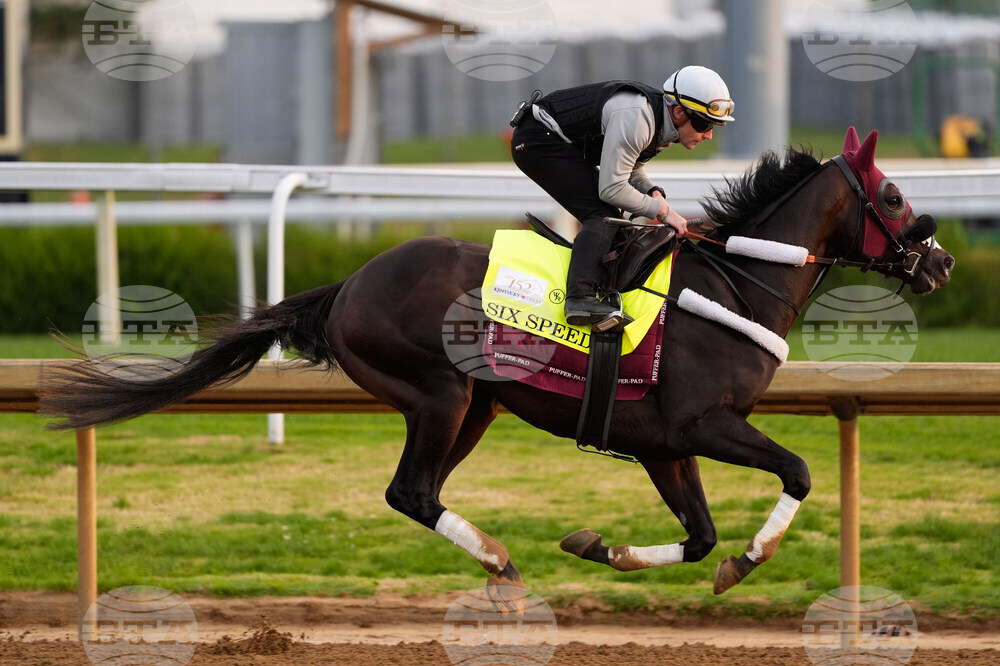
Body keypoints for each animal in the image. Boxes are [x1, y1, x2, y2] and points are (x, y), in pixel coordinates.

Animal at [40, 127, 954, 612]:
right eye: (895, 195)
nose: (941, 261)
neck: (736, 281)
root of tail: (349, 284)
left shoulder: (662, 444)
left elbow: (698, 538)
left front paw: (602, 547)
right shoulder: (704, 423)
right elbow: (797, 473)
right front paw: (750, 561)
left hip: (475, 406)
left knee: (421, 493)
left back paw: (496, 561)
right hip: (439, 393)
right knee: (410, 492)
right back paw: (499, 561)